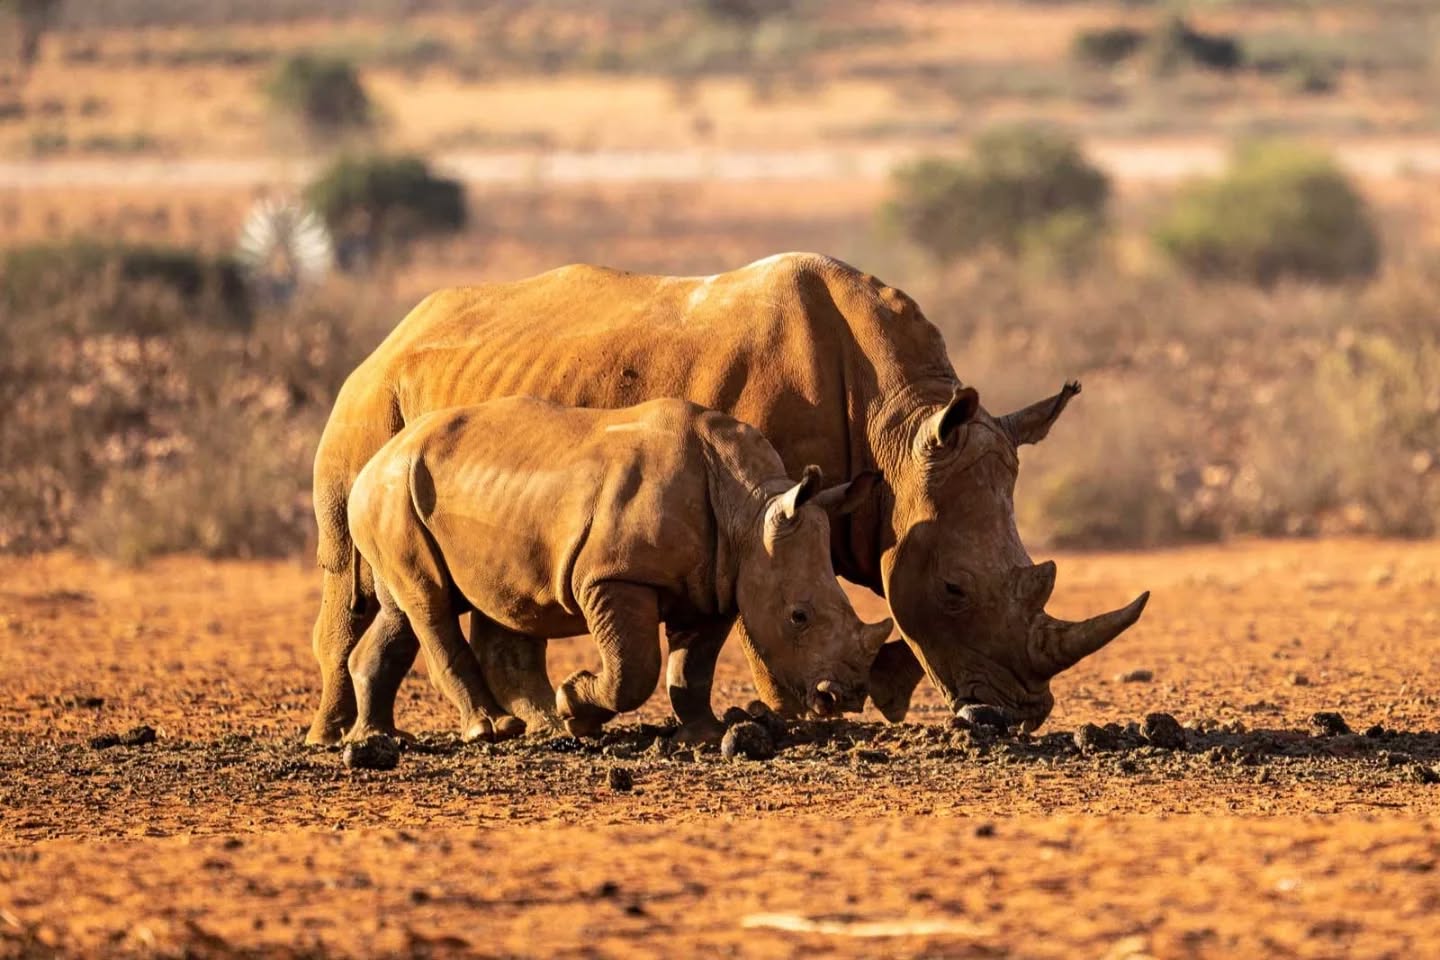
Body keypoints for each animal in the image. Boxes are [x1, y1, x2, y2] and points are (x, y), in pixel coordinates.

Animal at [344, 396, 892, 743]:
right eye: (799, 616)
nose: (845, 697)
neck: (750, 508)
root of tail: (372, 458)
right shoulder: (613, 576)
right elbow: (635, 670)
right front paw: (574, 709)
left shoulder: (717, 583)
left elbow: (692, 667)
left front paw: (706, 735)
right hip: (393, 487)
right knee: (430, 601)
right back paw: (491, 730)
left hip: (415, 491)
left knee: (408, 607)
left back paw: (380, 736)